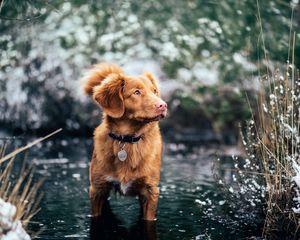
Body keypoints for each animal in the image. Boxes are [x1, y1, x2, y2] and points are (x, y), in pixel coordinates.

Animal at [82, 62, 166, 220]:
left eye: (154, 91)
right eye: (137, 92)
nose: (163, 105)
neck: (127, 140)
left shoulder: (150, 191)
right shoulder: (97, 189)